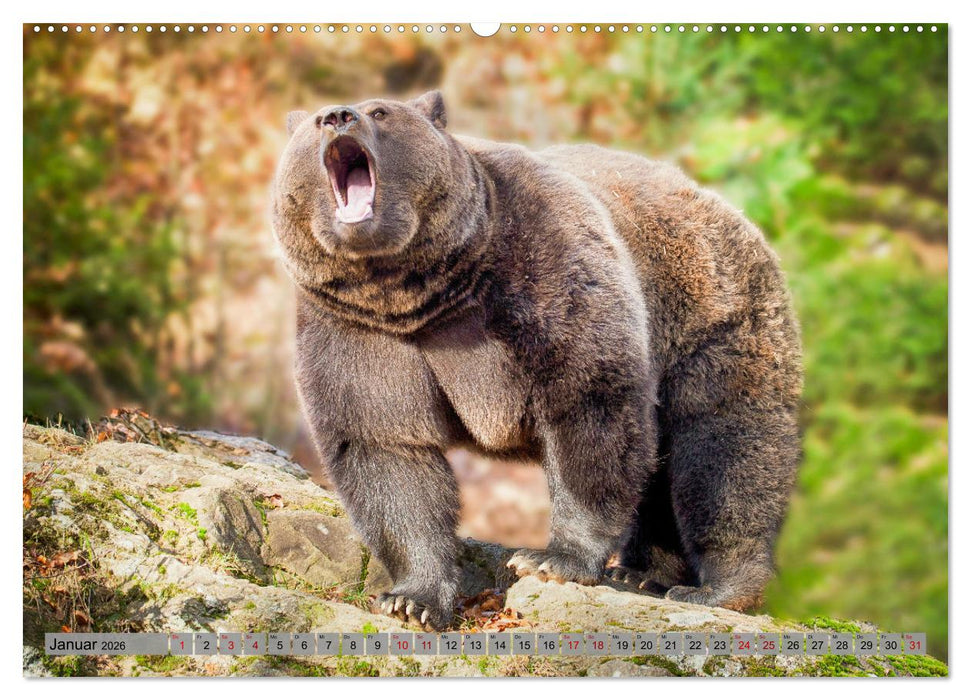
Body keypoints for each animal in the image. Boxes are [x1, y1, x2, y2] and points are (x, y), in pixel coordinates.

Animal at [271, 90, 803, 630]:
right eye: (314, 122)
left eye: (381, 111)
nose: (338, 117)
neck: (421, 293)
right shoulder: (357, 329)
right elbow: (387, 448)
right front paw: (412, 598)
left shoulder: (538, 271)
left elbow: (586, 404)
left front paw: (550, 559)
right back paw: (642, 572)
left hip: (710, 321)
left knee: (724, 451)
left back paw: (718, 587)